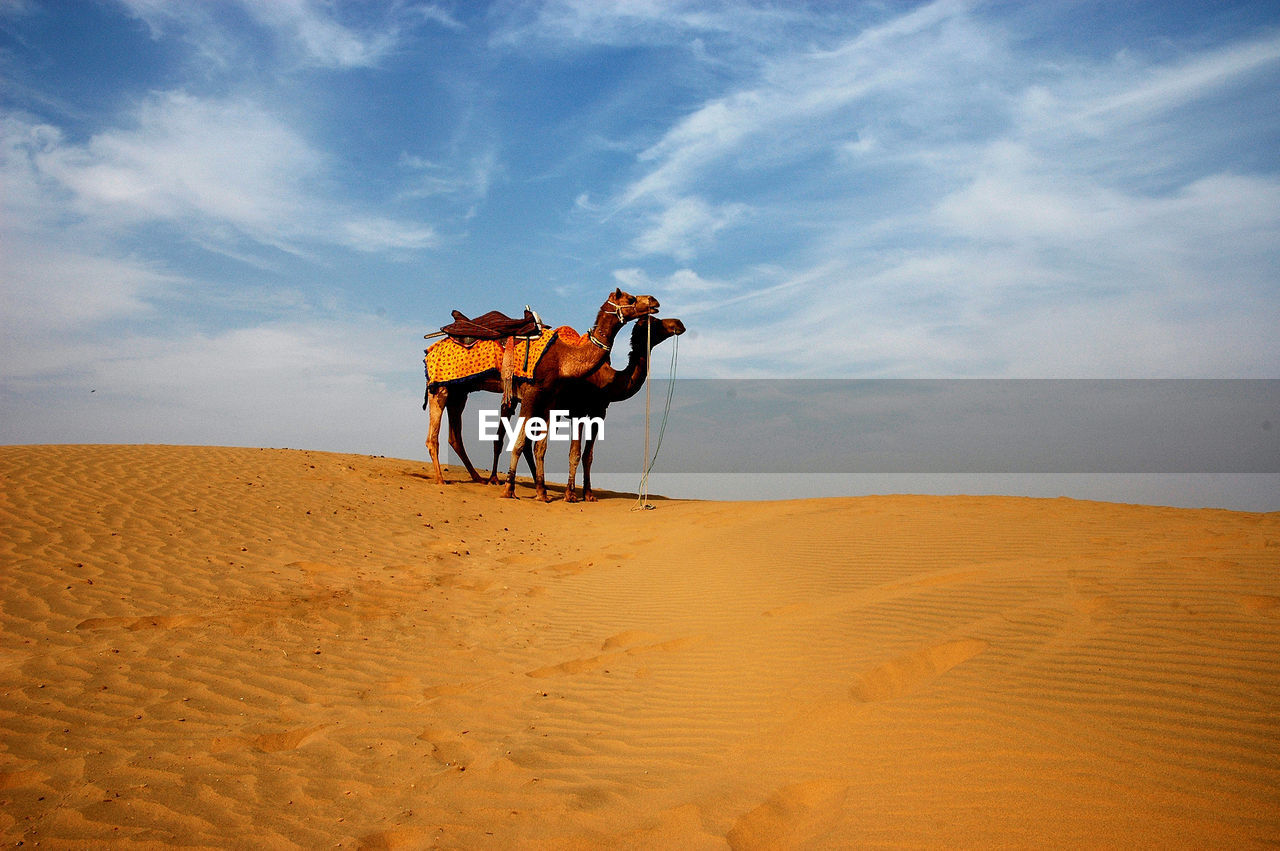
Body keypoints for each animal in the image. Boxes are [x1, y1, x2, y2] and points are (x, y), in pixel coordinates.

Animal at [424, 289, 660, 493]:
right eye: (630, 298)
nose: (654, 301)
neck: (564, 358)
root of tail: (431, 348)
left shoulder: (548, 398)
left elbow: (540, 446)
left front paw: (542, 490)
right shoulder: (532, 393)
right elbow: (521, 443)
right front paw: (512, 489)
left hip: (460, 391)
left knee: (455, 436)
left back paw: (479, 478)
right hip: (440, 387)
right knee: (433, 436)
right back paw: (441, 479)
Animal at [555, 314, 686, 501]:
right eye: (654, 321)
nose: (679, 323)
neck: (605, 381)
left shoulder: (599, 412)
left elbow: (588, 455)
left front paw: (589, 494)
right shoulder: (578, 411)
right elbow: (575, 452)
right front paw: (570, 495)